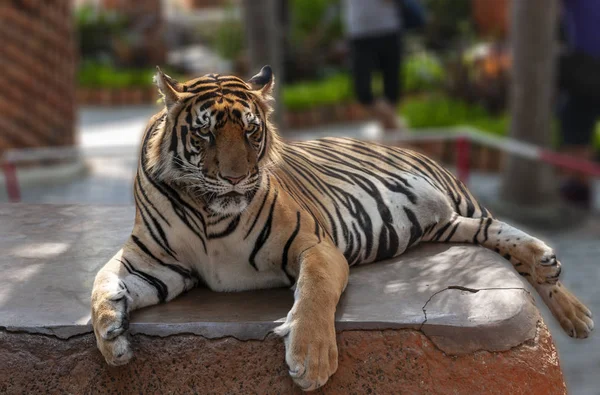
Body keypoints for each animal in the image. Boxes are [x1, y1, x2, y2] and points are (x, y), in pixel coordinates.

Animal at [91, 65, 592, 392]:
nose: (236, 178)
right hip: (449, 225)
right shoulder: (152, 263)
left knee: (499, 226)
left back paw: (574, 311)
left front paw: (311, 360)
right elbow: (101, 283)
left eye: (252, 131)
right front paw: (112, 341)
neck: (208, 211)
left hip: (455, 194)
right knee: (488, 231)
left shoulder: (315, 246)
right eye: (205, 133)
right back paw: (549, 269)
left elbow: (315, 291)